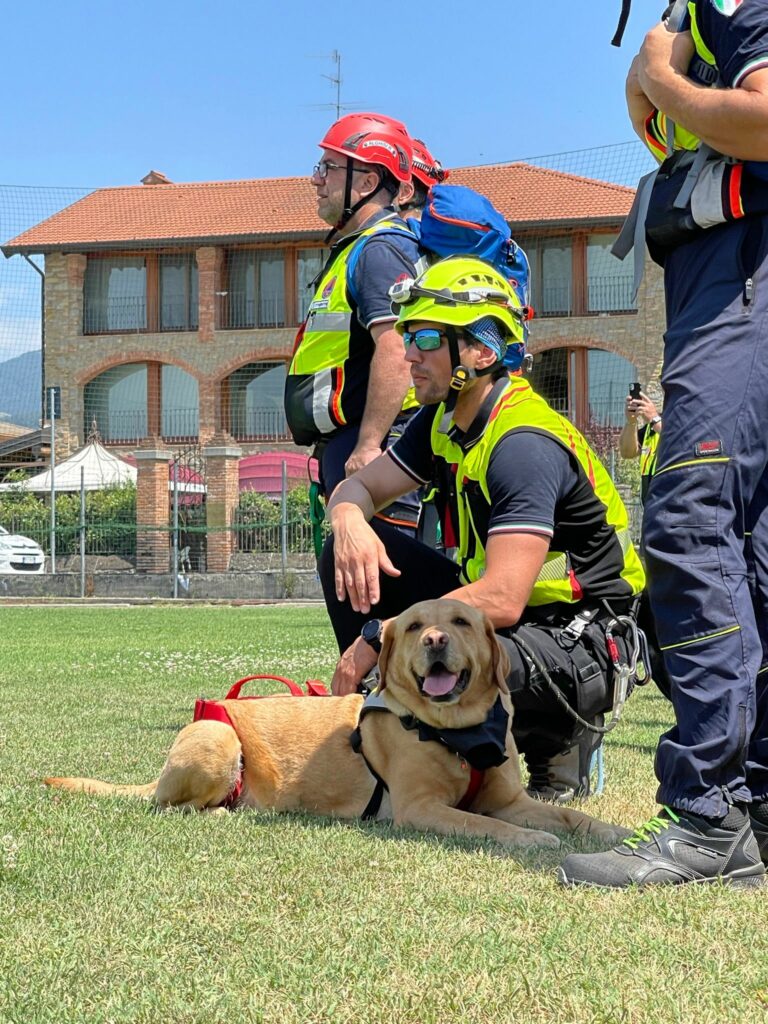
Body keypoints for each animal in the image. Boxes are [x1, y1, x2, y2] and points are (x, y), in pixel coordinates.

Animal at [45, 598, 626, 847]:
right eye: (413, 626)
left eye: (461, 621)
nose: (435, 641)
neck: (457, 728)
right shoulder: (420, 809)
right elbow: (486, 825)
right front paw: (533, 841)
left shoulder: (510, 799)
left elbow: (571, 816)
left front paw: (614, 829)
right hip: (217, 738)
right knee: (176, 809)